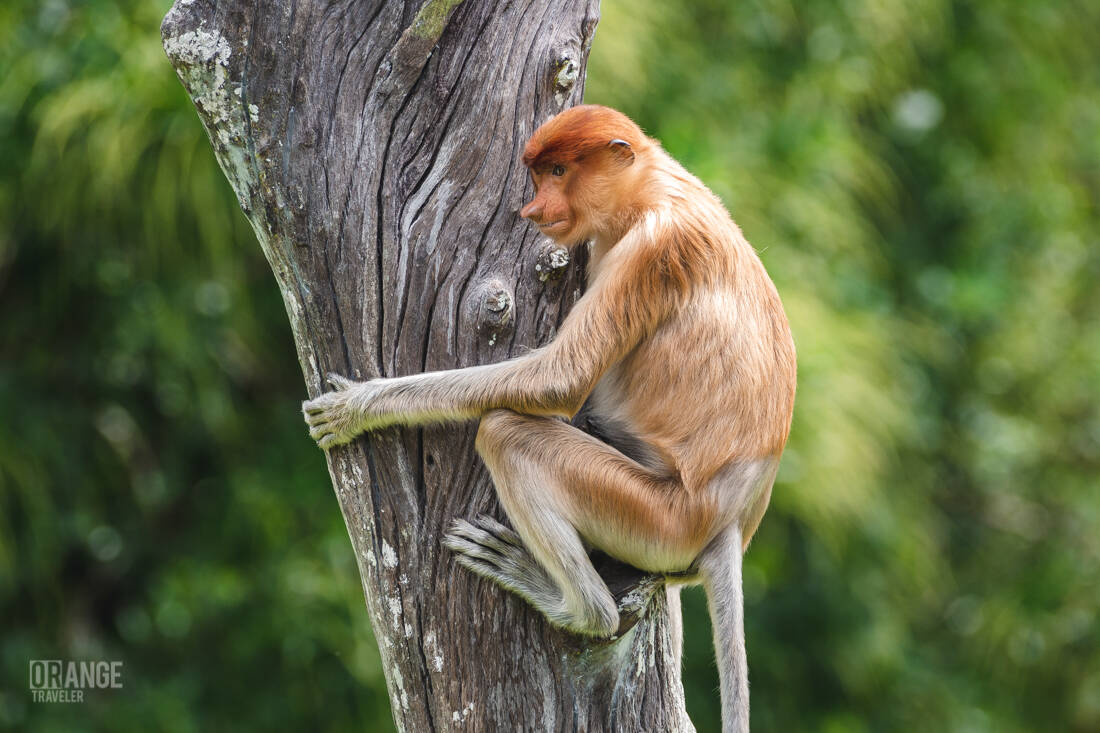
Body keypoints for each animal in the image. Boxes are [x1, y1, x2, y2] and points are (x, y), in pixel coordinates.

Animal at [303, 104, 796, 733]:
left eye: (559, 171)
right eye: (539, 175)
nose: (532, 210)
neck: (649, 188)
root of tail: (729, 521)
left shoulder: (651, 252)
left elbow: (558, 379)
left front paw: (357, 406)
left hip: (659, 518)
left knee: (506, 432)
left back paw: (574, 604)